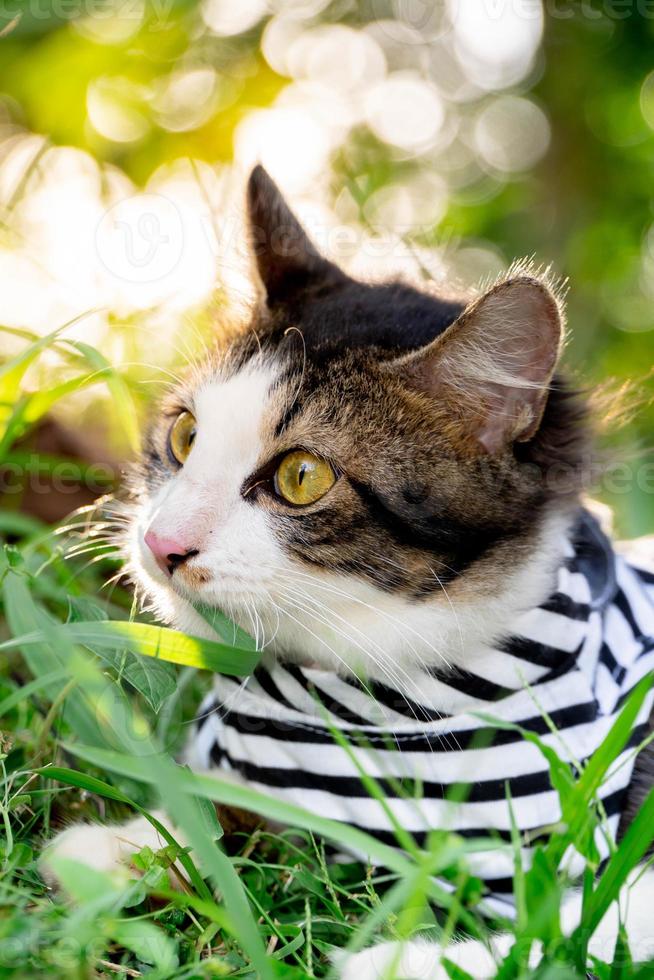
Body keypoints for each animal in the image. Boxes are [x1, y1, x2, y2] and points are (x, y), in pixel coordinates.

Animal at [43, 165, 654, 976]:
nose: (162, 542)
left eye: (302, 477)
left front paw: (397, 962)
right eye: (185, 435)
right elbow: (235, 812)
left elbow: (583, 925)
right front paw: (124, 847)